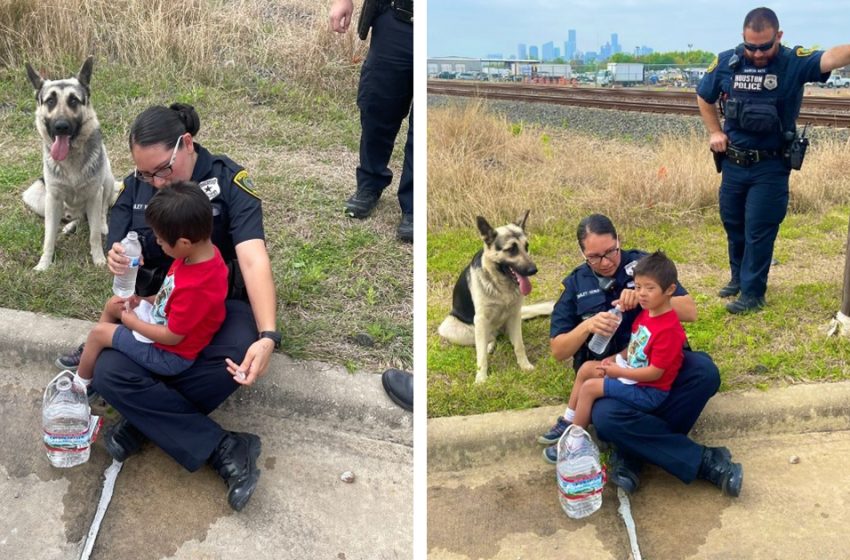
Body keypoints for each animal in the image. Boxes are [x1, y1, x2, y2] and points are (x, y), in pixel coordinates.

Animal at [22, 55, 116, 270]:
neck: (71, 157)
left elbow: (94, 235)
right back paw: (70, 225)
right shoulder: (53, 198)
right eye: (50, 101)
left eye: (73, 100)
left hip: (107, 180)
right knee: (76, 217)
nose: (61, 126)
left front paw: (99, 259)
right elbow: (49, 237)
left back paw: (101, 224)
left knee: (101, 211)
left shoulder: (94, 195)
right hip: (35, 196)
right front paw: (44, 263)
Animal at [438, 212, 556, 382]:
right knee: (487, 340)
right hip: (452, 328)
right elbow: (480, 356)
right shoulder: (480, 319)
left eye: (526, 247)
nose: (533, 270)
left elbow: (519, 345)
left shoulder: (514, 315)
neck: (501, 286)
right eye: (511, 249)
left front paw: (524, 366)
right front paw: (481, 378)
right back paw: (489, 346)